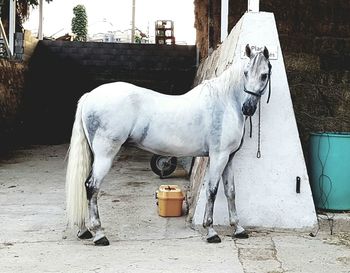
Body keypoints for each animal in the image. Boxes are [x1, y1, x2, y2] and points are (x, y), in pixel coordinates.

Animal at [66, 44, 274, 244]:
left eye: (264, 74)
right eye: (245, 73)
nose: (248, 108)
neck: (225, 103)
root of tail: (90, 95)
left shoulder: (228, 158)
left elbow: (230, 191)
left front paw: (238, 229)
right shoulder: (218, 156)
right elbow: (212, 191)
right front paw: (211, 231)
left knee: (85, 186)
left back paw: (84, 230)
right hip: (105, 155)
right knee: (92, 187)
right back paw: (99, 234)